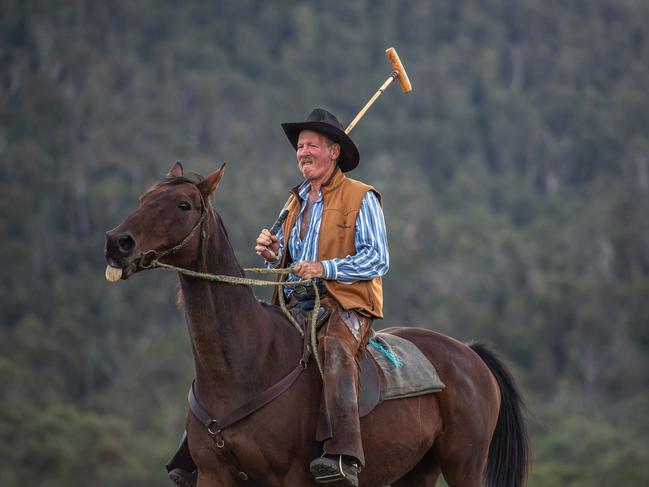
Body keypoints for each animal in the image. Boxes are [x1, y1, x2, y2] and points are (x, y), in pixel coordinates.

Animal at [101, 164, 528, 487]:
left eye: (183, 204)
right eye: (143, 200)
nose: (117, 242)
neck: (244, 365)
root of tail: (469, 353)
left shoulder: (291, 478)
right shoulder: (213, 475)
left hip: (464, 465)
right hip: (416, 471)